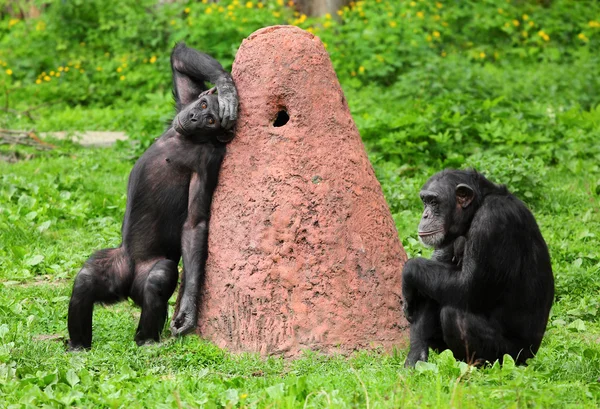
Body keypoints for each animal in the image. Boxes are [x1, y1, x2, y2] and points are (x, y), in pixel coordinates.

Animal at [68, 45, 239, 350]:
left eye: (210, 120)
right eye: (203, 107)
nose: (194, 118)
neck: (187, 138)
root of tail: (128, 290)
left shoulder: (209, 163)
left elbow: (195, 224)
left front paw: (188, 310)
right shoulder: (185, 101)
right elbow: (180, 61)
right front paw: (226, 87)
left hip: (147, 274)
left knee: (160, 278)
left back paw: (147, 340)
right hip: (115, 268)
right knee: (86, 280)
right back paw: (78, 346)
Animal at [400, 169, 556, 366]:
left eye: (434, 202)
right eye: (425, 201)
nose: (425, 215)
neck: (476, 209)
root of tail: (532, 354)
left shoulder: (491, 221)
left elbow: (466, 286)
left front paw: (408, 274)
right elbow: (432, 283)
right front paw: (416, 354)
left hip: (513, 355)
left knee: (454, 314)